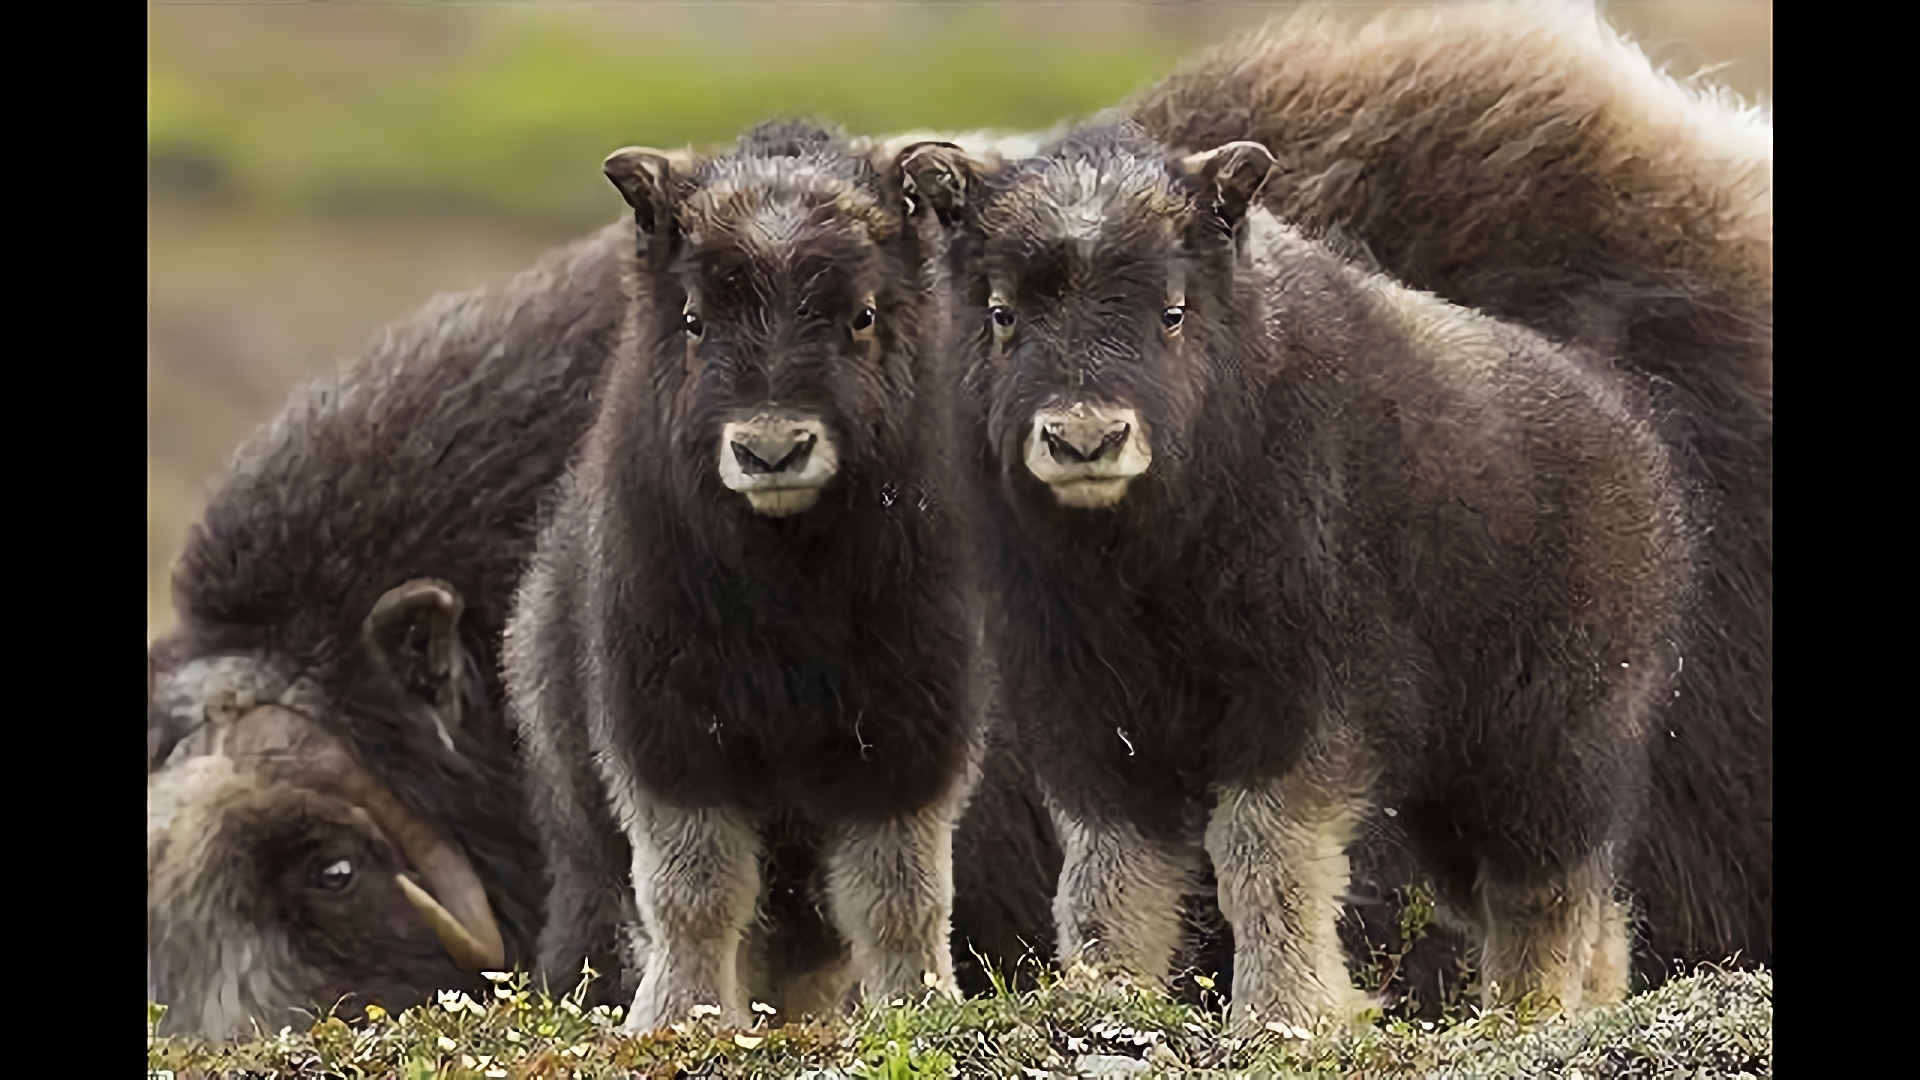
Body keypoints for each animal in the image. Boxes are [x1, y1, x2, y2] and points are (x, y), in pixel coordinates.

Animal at [503, 115, 1036, 1022]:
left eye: (861, 314)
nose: (772, 450)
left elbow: (900, 893)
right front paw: (677, 1017)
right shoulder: (673, 738)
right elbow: (695, 891)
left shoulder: (905, 738)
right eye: (694, 319)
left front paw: (920, 1003)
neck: (787, 583)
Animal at [944, 115, 1697, 1022]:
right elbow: (1107, 869)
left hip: (1550, 748)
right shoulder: (1088, 713)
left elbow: (1265, 852)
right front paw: (1106, 993)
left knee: (1545, 890)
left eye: (1172, 310)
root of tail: (1636, 439)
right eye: (1001, 311)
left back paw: (1531, 1013)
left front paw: (1286, 1013)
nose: (1084, 439)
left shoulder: (1303, 702)